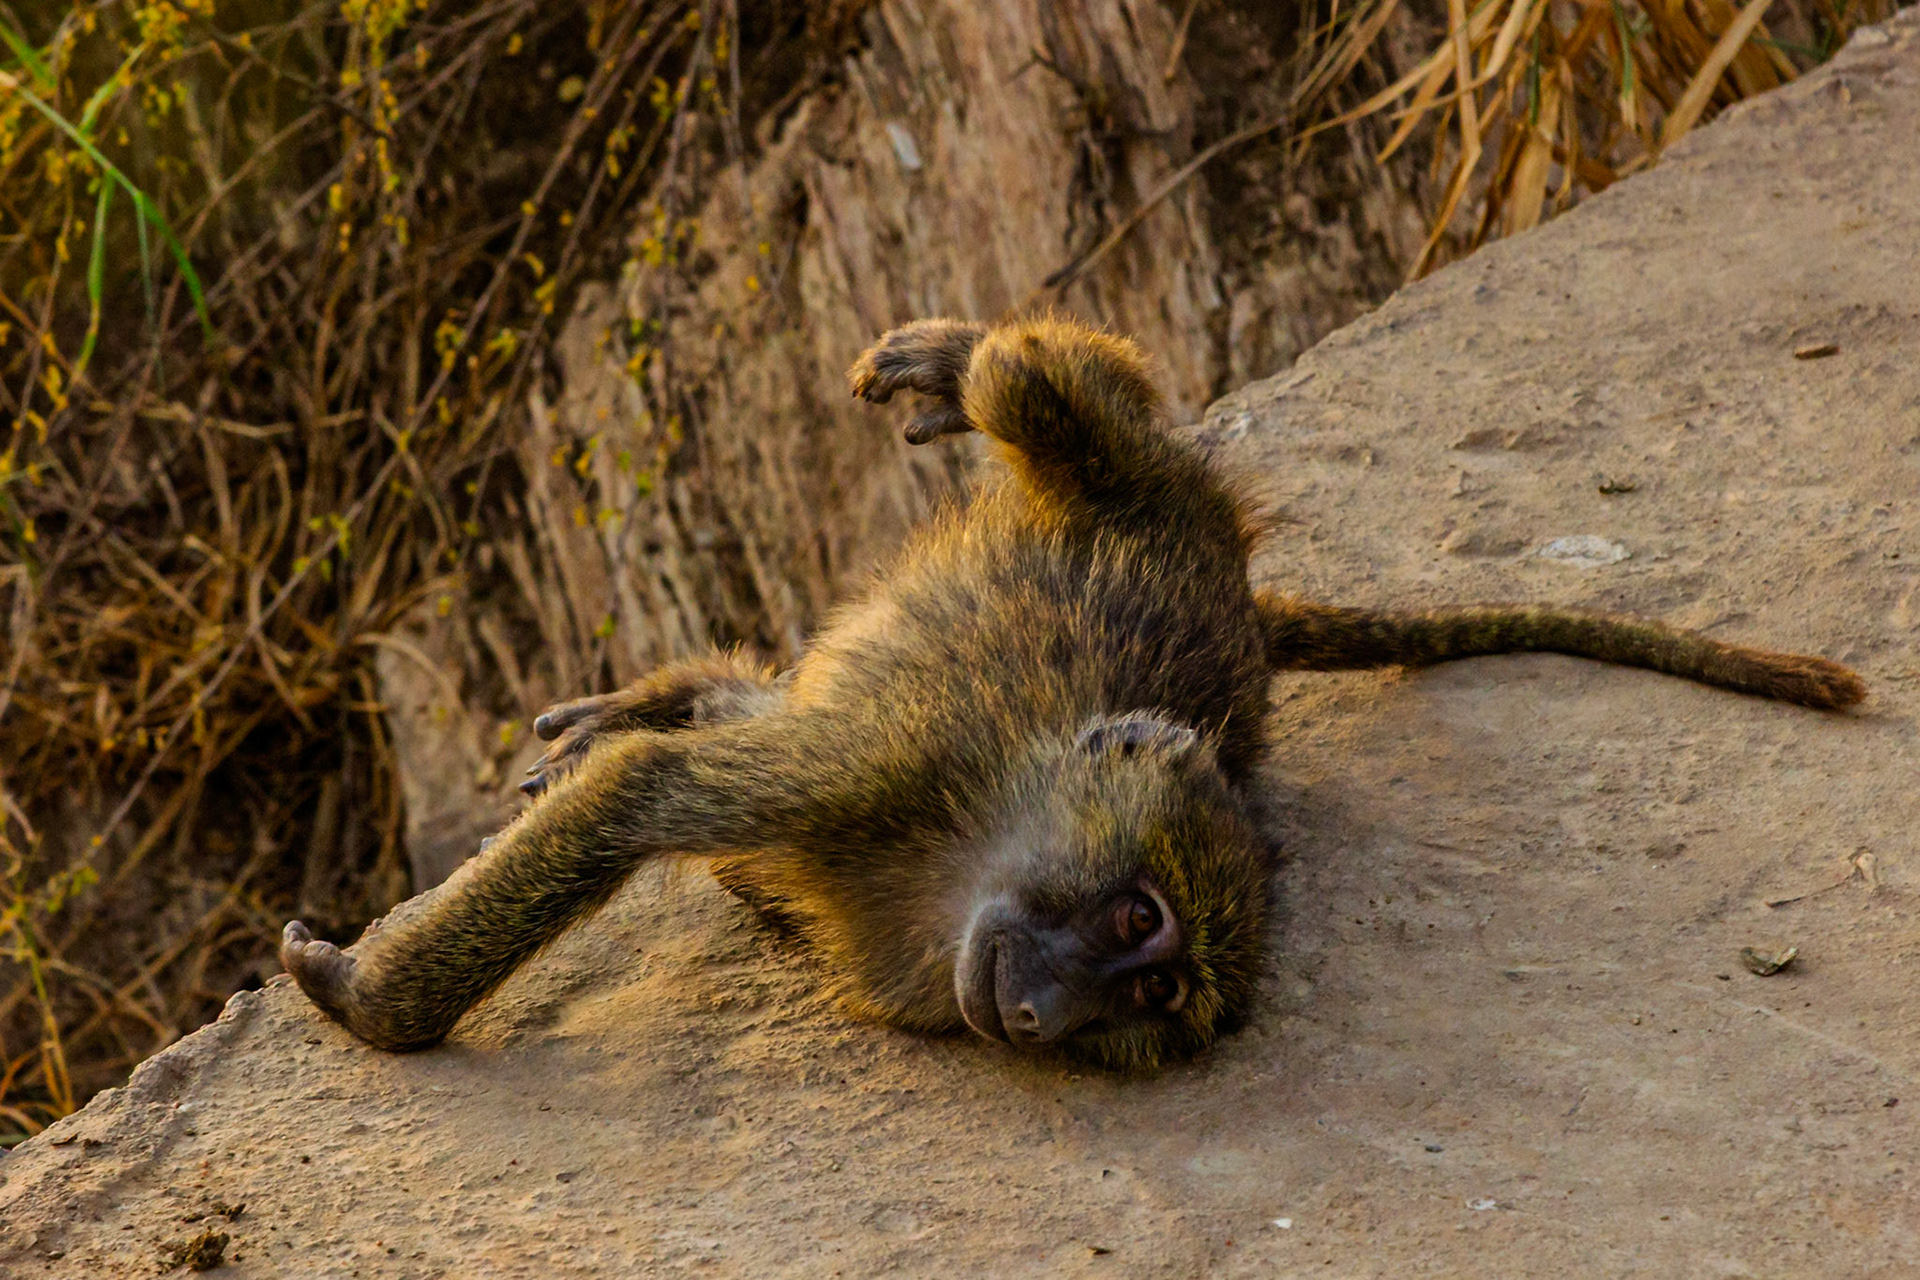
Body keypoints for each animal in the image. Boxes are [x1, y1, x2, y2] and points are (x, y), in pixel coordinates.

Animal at [281, 314, 1864, 1071]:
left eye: (1148, 987)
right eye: (1135, 915)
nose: (1043, 1011)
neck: (966, 858)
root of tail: (1244, 598)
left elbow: (701, 790)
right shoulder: (881, 766)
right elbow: (651, 796)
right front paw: (370, 996)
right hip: (1145, 473)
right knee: (1039, 383)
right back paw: (954, 356)